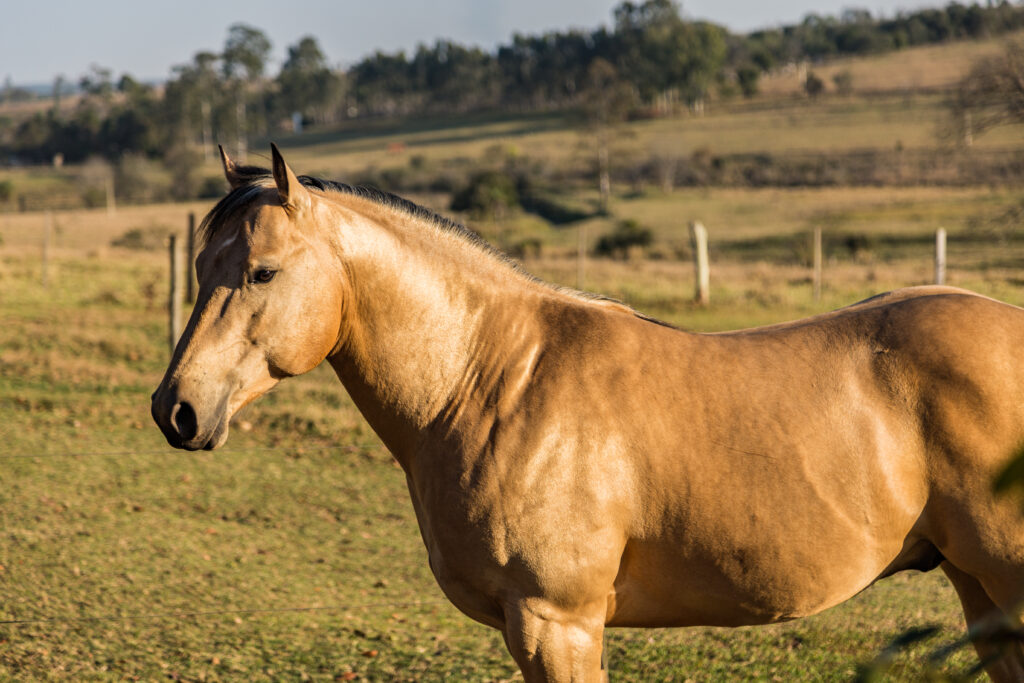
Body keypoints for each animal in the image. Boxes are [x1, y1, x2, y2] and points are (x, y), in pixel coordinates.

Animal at [151, 147, 1024, 679]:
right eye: (199, 266)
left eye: (263, 271)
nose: (177, 409)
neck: (490, 379)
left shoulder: (556, 622)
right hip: (981, 592)